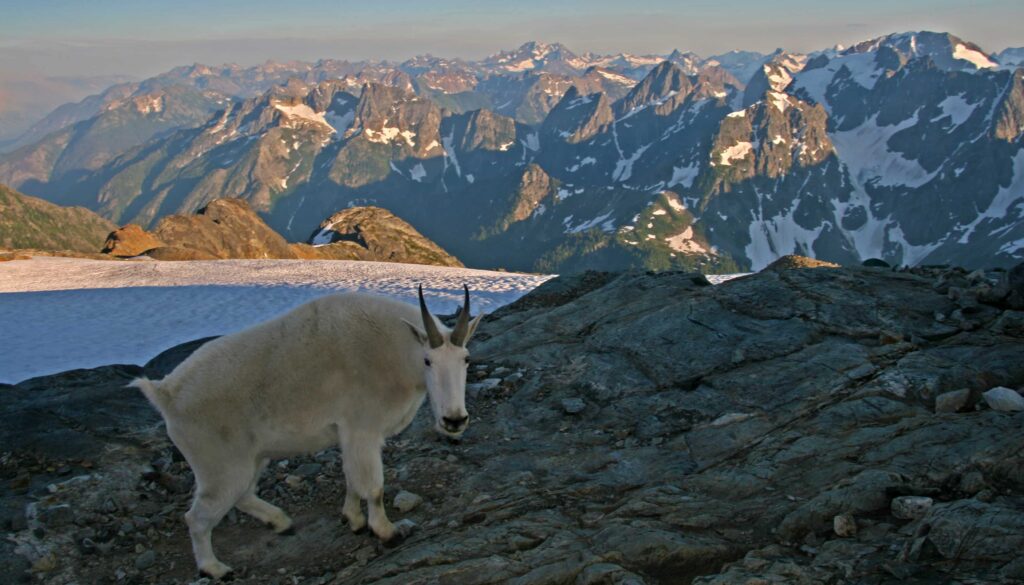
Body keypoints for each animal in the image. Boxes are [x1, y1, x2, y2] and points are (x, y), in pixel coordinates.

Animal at [133, 286, 483, 577]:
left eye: (466, 359)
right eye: (428, 361)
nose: (454, 420)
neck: (395, 353)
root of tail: (166, 395)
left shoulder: (349, 434)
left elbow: (351, 479)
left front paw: (353, 520)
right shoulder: (362, 427)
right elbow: (373, 486)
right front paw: (386, 531)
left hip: (252, 457)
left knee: (243, 494)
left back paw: (281, 522)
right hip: (219, 463)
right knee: (199, 516)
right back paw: (215, 568)